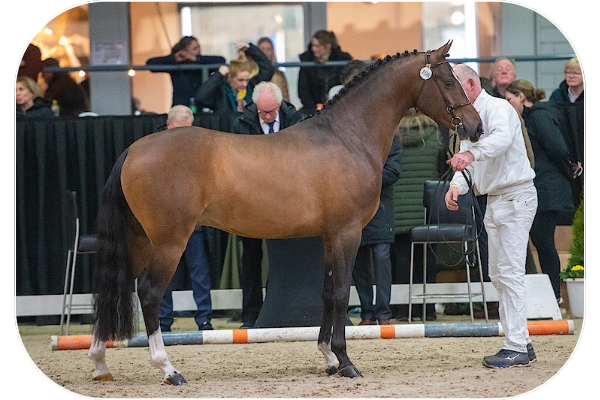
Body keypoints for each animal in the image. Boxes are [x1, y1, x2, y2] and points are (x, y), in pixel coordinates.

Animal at [90, 40, 482, 384]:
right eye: (449, 81)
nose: (475, 126)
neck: (346, 137)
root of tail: (133, 150)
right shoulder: (347, 232)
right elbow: (342, 292)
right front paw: (345, 361)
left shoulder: (329, 236)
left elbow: (327, 292)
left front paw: (328, 357)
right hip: (170, 242)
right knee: (149, 293)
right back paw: (168, 369)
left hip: (139, 240)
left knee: (115, 287)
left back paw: (99, 364)